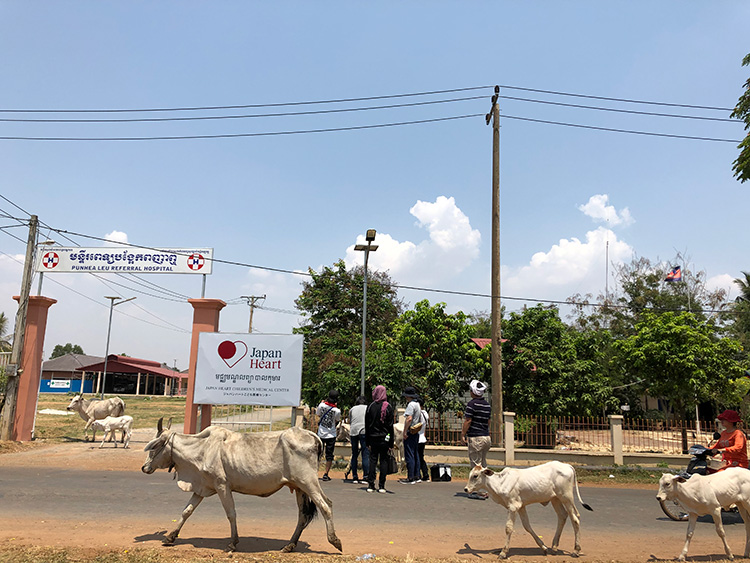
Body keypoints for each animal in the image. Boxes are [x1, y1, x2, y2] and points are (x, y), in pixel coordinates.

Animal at [141, 418, 344, 556]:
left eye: (154, 446)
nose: (144, 468)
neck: (201, 448)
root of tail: (313, 435)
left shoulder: (222, 485)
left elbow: (231, 514)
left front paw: (232, 543)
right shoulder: (202, 487)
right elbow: (186, 511)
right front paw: (170, 537)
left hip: (309, 482)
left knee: (326, 505)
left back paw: (334, 540)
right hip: (299, 487)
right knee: (303, 515)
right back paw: (289, 545)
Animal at [464, 462, 592, 560]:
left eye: (475, 476)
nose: (466, 489)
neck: (500, 482)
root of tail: (567, 465)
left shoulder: (513, 507)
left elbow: (508, 528)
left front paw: (503, 553)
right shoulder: (521, 506)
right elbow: (527, 526)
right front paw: (543, 548)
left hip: (566, 498)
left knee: (575, 518)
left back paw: (576, 550)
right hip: (555, 499)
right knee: (562, 516)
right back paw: (554, 547)